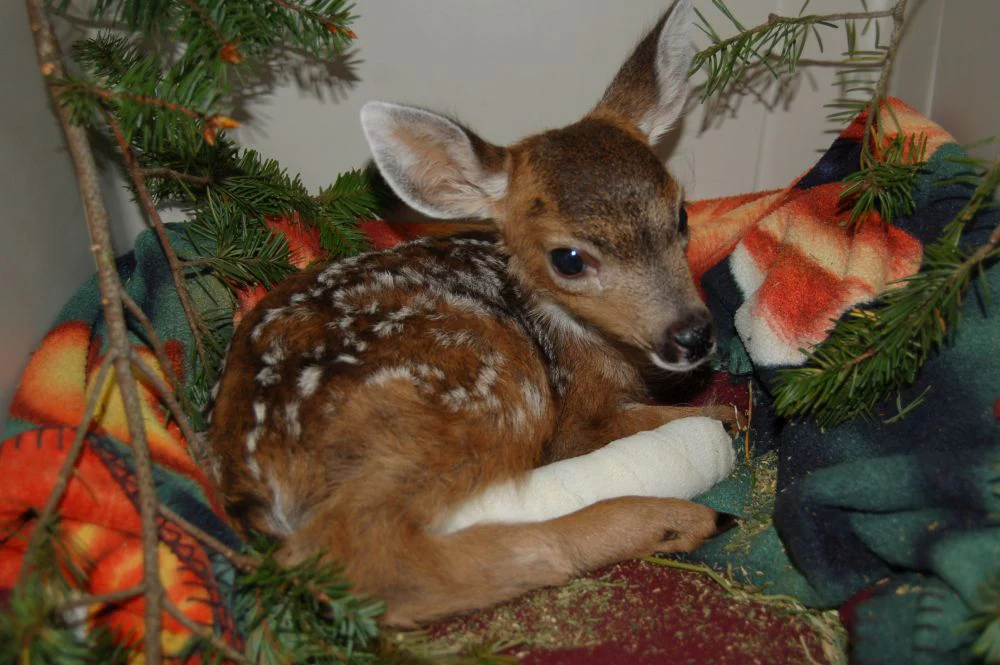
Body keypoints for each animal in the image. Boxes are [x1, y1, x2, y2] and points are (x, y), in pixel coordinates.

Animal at [205, 0, 740, 627]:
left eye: (681, 215)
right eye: (569, 259)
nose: (693, 335)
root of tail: (248, 471)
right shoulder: (575, 422)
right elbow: (698, 416)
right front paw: (721, 419)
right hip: (477, 388)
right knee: (360, 560)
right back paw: (680, 520)